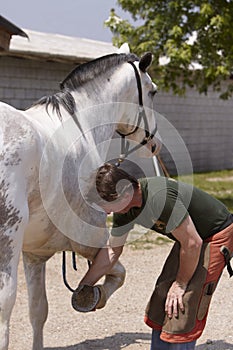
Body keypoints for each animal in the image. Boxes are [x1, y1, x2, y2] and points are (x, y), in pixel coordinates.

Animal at [0, 45, 160, 350]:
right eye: (153, 91)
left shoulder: (35, 252)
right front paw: (93, 296)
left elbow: (38, 311)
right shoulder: (88, 236)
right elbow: (118, 273)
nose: (153, 142)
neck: (81, 127)